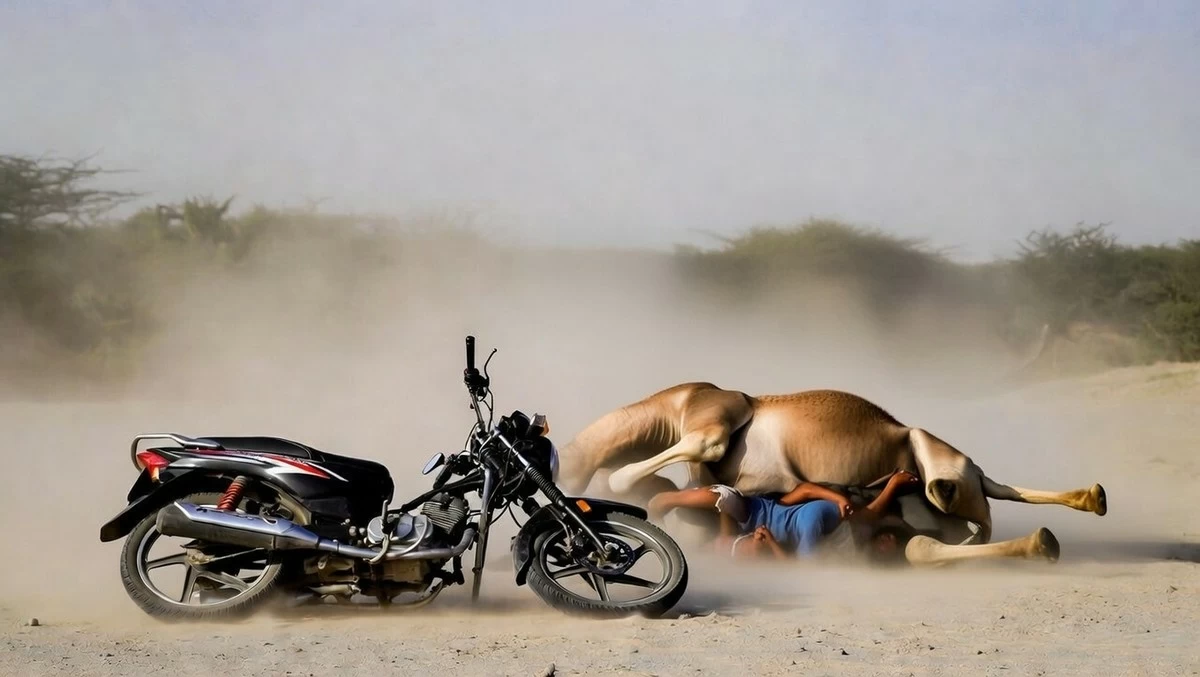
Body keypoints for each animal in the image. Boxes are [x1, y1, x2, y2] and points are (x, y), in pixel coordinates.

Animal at [556, 382, 1108, 567]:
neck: (678, 403)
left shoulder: (711, 427)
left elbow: (629, 477)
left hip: (942, 473)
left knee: (975, 508)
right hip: (958, 496)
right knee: (984, 509)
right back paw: (1089, 500)